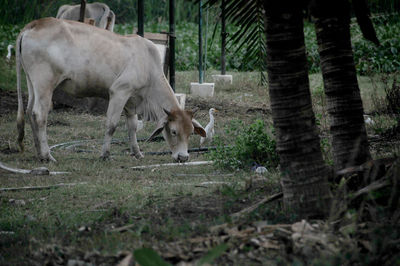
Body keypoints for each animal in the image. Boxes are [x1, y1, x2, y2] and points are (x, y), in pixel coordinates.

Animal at [16, 17, 205, 162]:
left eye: (191, 132)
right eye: (174, 131)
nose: (183, 157)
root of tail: (34, 24)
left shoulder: (131, 101)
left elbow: (132, 127)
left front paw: (137, 153)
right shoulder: (119, 91)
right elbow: (112, 124)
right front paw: (105, 154)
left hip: (32, 83)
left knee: (29, 111)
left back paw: (39, 154)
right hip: (45, 83)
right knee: (39, 115)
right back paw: (47, 155)